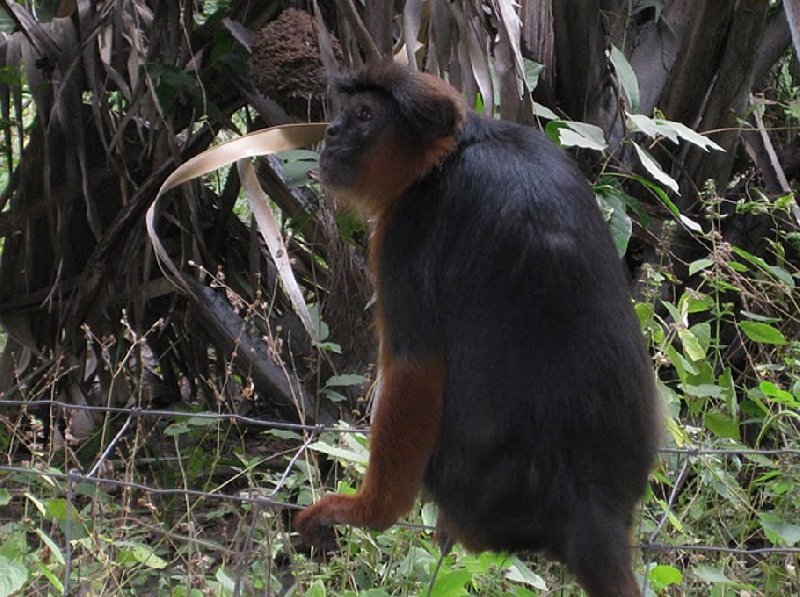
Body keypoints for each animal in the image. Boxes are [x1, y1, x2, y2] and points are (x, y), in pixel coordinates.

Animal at [296, 61, 660, 596]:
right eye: (349, 114)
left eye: (364, 116)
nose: (332, 132)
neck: (454, 153)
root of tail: (592, 509)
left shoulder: (409, 228)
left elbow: (414, 368)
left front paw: (367, 512)